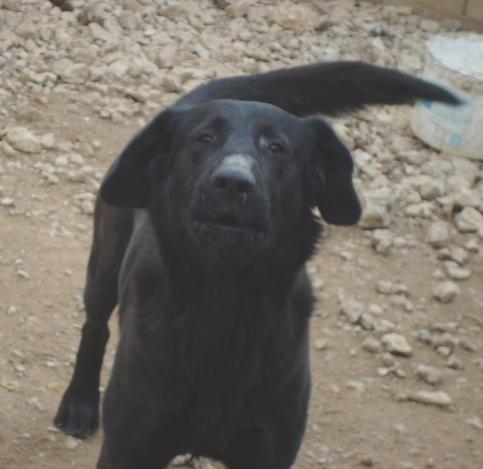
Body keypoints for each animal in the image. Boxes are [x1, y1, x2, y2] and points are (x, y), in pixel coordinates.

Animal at [54, 62, 460, 468]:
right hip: (103, 266)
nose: (233, 183)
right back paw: (79, 402)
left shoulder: (270, 448)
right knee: (95, 327)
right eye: (203, 139)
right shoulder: (130, 446)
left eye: (276, 147)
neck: (226, 302)